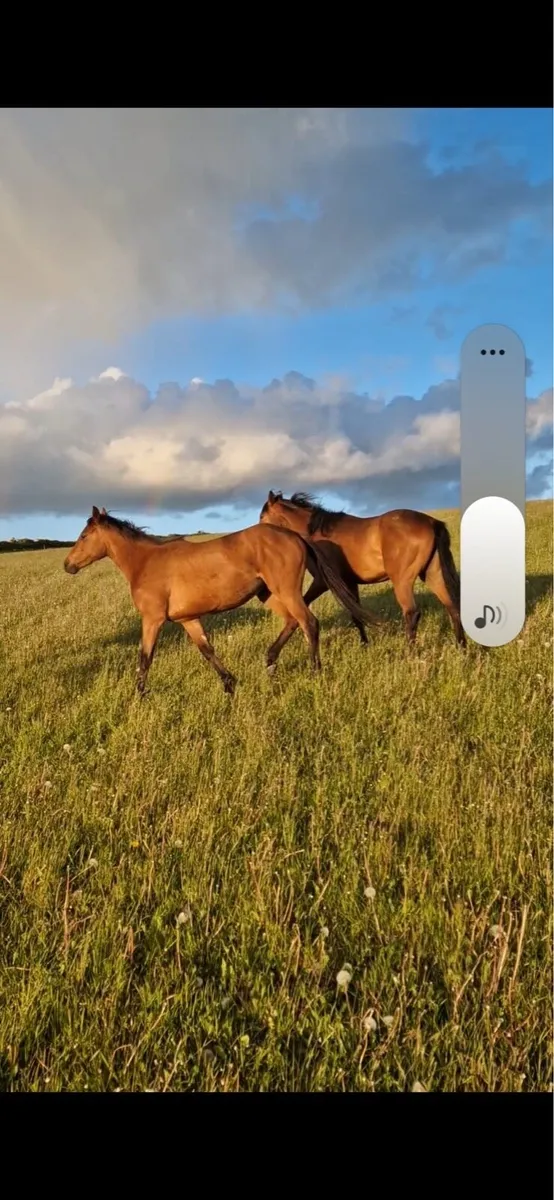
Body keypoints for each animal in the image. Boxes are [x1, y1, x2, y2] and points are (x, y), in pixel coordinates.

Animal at [63, 506, 383, 696]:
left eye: (84, 535)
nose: (68, 565)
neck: (145, 562)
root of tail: (293, 535)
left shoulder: (152, 620)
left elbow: (145, 656)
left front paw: (139, 695)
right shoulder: (188, 619)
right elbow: (207, 650)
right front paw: (230, 684)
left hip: (285, 590)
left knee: (309, 623)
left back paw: (315, 670)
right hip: (268, 594)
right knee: (293, 622)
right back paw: (269, 663)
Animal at [259, 491, 466, 648]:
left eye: (262, 516)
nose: (258, 536)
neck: (316, 532)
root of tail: (431, 522)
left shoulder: (321, 582)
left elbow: (304, 605)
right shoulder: (349, 582)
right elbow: (356, 616)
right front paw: (365, 645)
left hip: (402, 580)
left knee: (412, 613)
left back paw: (409, 653)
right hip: (433, 575)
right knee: (452, 607)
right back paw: (461, 649)